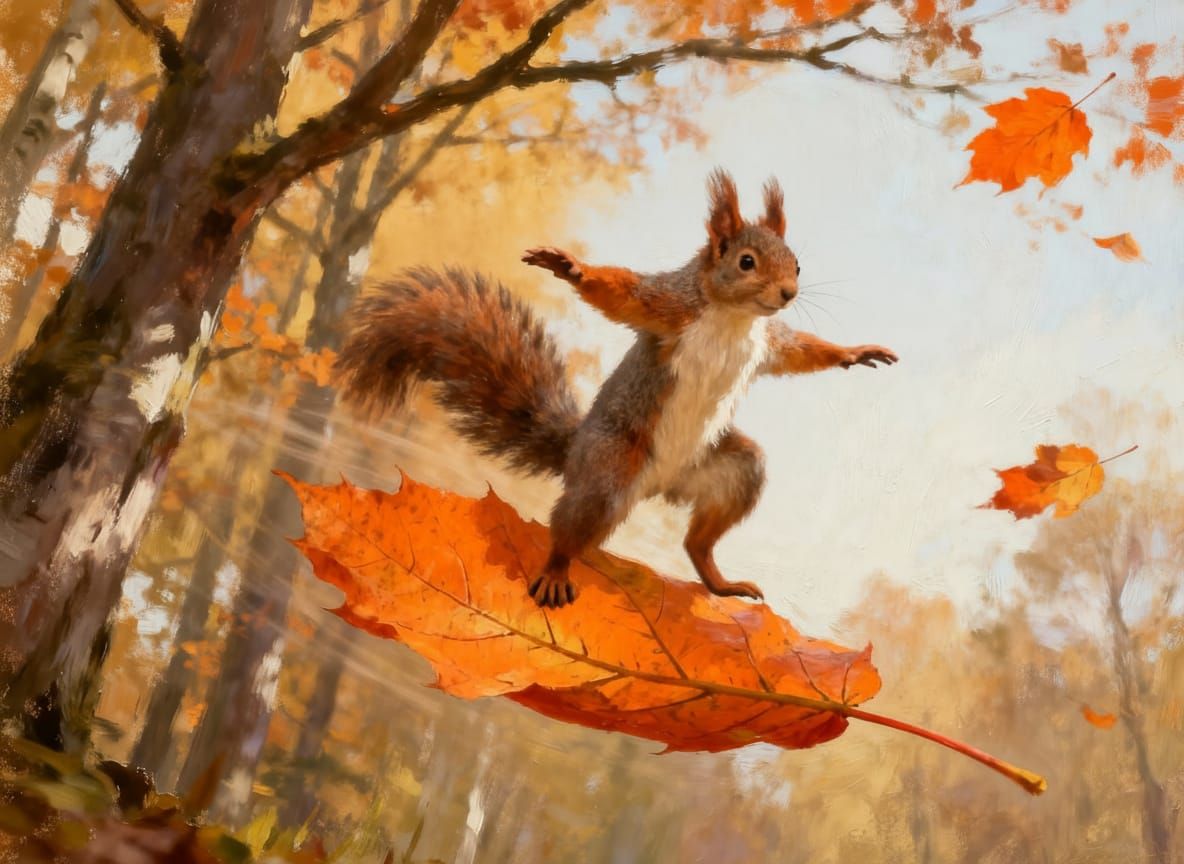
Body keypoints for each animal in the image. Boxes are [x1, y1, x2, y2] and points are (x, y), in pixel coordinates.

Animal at [334, 169, 897, 608]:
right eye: (746, 261)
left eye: (797, 264)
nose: (788, 293)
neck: (734, 318)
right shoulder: (666, 307)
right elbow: (620, 292)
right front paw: (570, 267)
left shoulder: (768, 344)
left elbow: (803, 350)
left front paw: (854, 352)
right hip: (607, 472)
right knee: (569, 526)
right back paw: (557, 570)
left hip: (729, 470)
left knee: (698, 541)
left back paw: (720, 582)